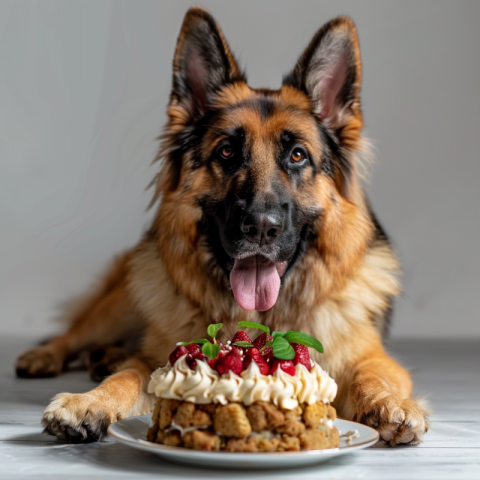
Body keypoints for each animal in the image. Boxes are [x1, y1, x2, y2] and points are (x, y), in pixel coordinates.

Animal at [15, 7, 430, 446]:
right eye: (227, 152)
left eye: (298, 155)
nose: (260, 229)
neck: (261, 318)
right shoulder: (160, 358)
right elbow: (128, 375)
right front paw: (89, 402)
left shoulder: (371, 357)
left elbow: (371, 376)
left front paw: (389, 404)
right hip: (122, 302)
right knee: (78, 333)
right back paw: (48, 355)